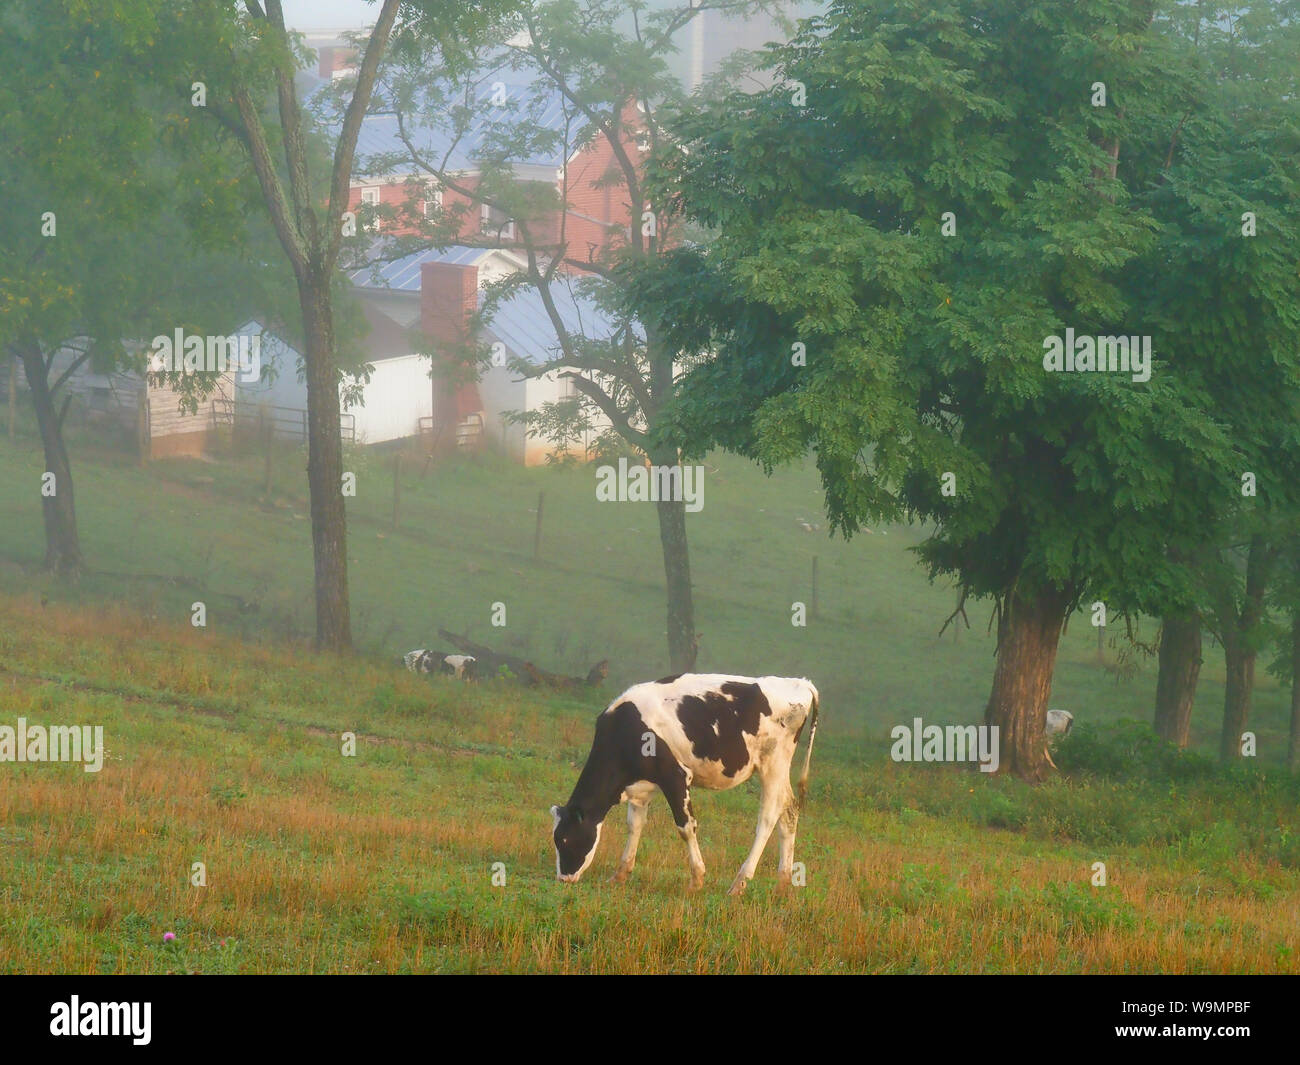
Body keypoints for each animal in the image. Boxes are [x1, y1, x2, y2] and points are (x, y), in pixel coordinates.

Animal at [551, 681, 816, 894]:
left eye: (565, 840)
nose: (563, 879)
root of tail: (799, 683)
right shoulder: (641, 786)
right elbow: (634, 825)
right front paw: (620, 875)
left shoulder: (675, 775)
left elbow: (685, 827)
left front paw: (697, 879)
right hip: (779, 769)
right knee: (789, 811)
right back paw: (782, 883)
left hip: (773, 764)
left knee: (768, 818)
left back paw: (739, 884)